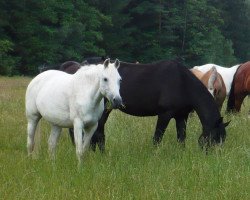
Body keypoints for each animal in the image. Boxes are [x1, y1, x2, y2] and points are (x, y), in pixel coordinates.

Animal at [62, 59, 229, 152]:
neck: (183, 83)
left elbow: (181, 138)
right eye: (215, 138)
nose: (215, 156)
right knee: (98, 133)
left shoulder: (182, 116)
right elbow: (157, 138)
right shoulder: (165, 114)